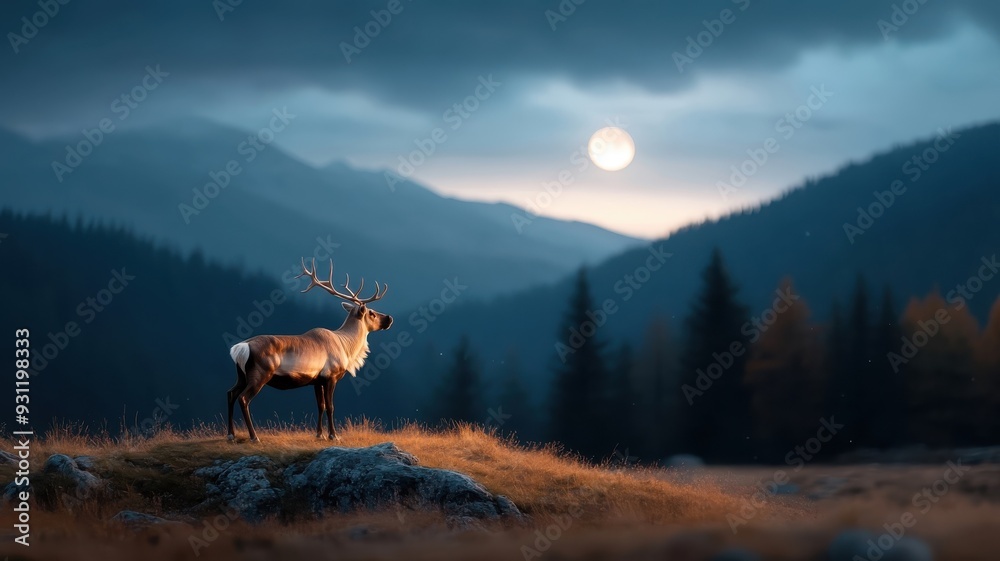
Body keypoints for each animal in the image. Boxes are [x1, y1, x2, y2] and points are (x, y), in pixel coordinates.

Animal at [226, 258, 393, 443]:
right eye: (372, 313)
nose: (389, 318)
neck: (346, 347)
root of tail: (240, 348)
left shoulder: (316, 380)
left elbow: (320, 405)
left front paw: (319, 434)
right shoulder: (330, 376)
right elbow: (330, 406)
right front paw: (334, 435)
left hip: (241, 375)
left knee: (230, 393)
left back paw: (231, 434)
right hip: (260, 373)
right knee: (243, 398)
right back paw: (254, 436)